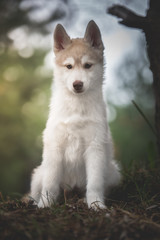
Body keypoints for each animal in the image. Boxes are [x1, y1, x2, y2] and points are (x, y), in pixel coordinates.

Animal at [30, 19, 120, 209]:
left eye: (87, 65)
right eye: (69, 66)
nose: (77, 84)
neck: (77, 107)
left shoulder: (95, 147)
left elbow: (94, 183)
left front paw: (96, 205)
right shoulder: (55, 147)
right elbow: (50, 184)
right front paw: (45, 205)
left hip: (113, 171)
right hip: (38, 173)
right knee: (39, 190)